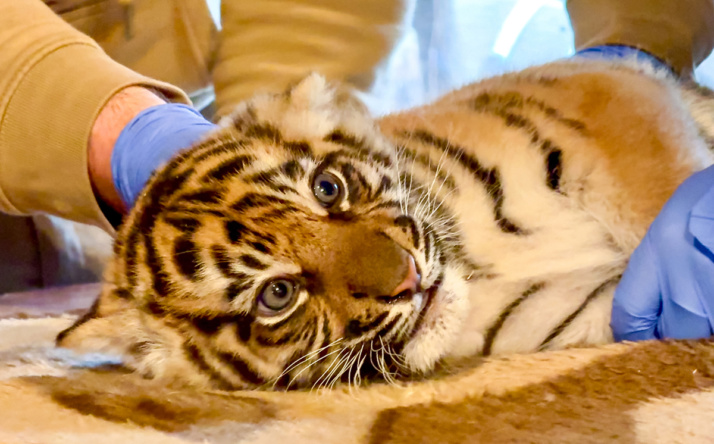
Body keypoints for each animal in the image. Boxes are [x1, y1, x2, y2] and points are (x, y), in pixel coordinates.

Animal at [57, 58, 714, 391]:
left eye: (328, 188)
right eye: (277, 295)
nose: (409, 280)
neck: (481, 265)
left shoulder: (604, 92)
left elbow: (662, 190)